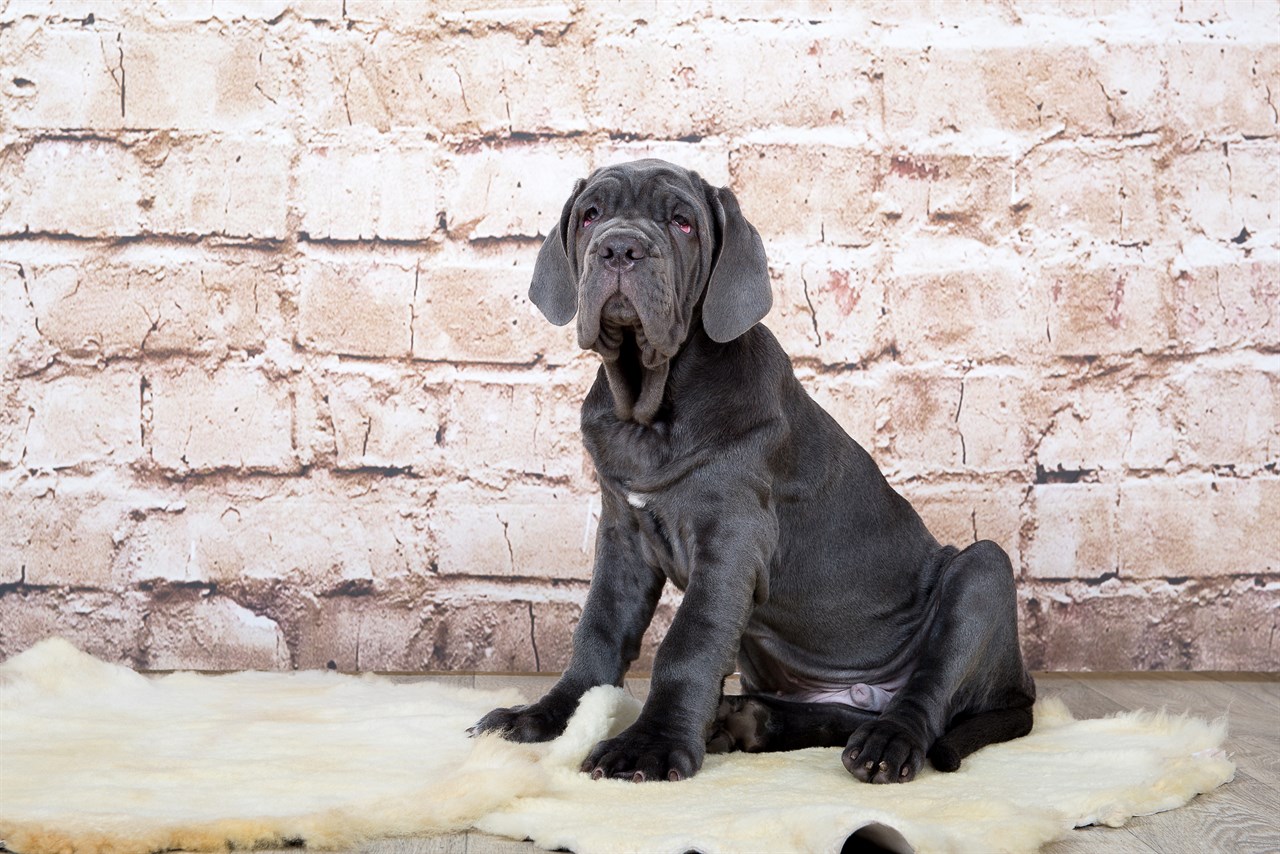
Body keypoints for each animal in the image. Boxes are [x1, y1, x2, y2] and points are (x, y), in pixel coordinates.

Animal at [473, 156, 1039, 783]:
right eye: (592, 214)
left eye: (683, 223)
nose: (620, 248)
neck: (651, 409)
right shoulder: (623, 535)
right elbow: (597, 630)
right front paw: (544, 716)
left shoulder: (733, 537)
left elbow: (688, 643)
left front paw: (649, 746)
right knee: (839, 716)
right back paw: (748, 721)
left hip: (981, 571)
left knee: (928, 692)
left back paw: (885, 743)